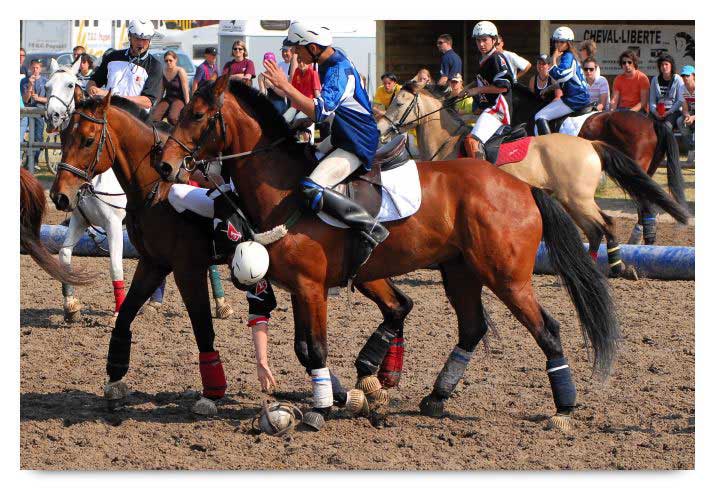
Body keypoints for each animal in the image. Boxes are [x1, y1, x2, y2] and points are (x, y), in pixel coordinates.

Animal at [44, 64, 233, 320]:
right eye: (47, 86)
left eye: (70, 84)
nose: (52, 115)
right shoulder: (80, 219)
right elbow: (64, 256)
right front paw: (71, 305)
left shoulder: (113, 223)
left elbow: (115, 266)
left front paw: (118, 310)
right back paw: (156, 301)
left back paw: (221, 303)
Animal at [158, 75, 621, 432]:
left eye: (196, 115)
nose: (165, 166)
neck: (284, 188)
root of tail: (524, 186)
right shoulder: (304, 288)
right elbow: (308, 348)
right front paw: (352, 392)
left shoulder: (311, 287)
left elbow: (314, 349)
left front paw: (323, 408)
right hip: (461, 273)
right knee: (472, 328)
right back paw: (437, 396)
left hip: (507, 278)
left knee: (548, 329)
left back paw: (564, 407)